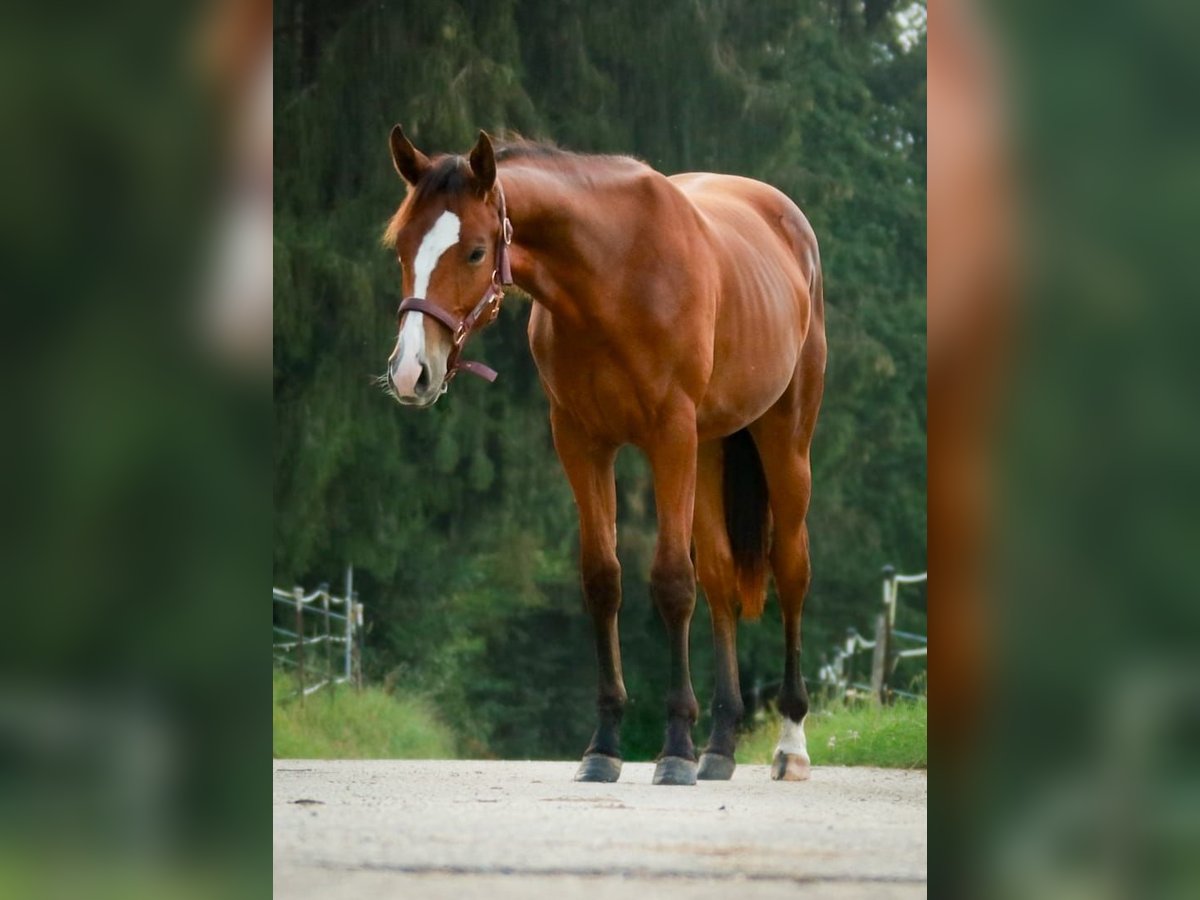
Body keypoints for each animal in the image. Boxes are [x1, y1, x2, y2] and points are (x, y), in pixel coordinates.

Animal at [381, 128, 825, 787]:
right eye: (403, 248)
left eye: (476, 252)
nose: (412, 373)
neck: (614, 276)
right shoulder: (581, 441)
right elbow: (603, 580)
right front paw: (605, 745)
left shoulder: (670, 436)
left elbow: (672, 582)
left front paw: (674, 748)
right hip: (710, 447)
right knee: (721, 580)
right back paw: (720, 744)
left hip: (784, 439)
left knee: (790, 570)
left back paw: (789, 743)